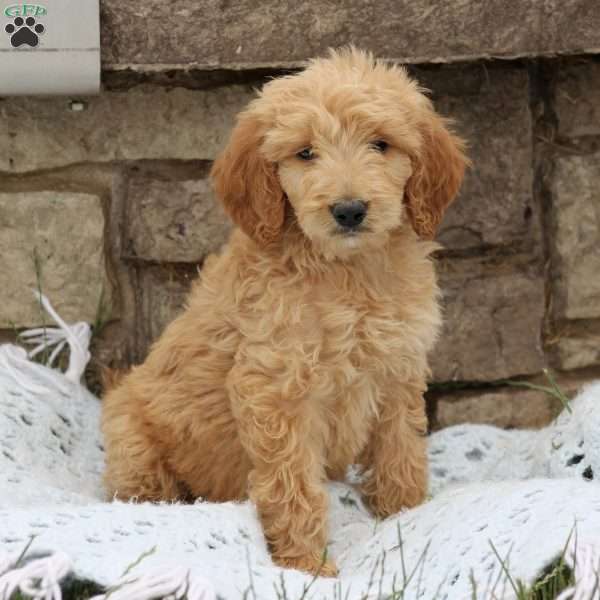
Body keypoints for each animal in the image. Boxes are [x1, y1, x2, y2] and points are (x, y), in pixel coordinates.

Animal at [103, 48, 466, 576]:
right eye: (305, 153)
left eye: (380, 144)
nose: (349, 210)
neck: (347, 272)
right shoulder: (279, 390)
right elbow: (293, 484)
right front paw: (306, 567)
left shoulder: (397, 371)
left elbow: (401, 451)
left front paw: (406, 517)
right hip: (134, 442)